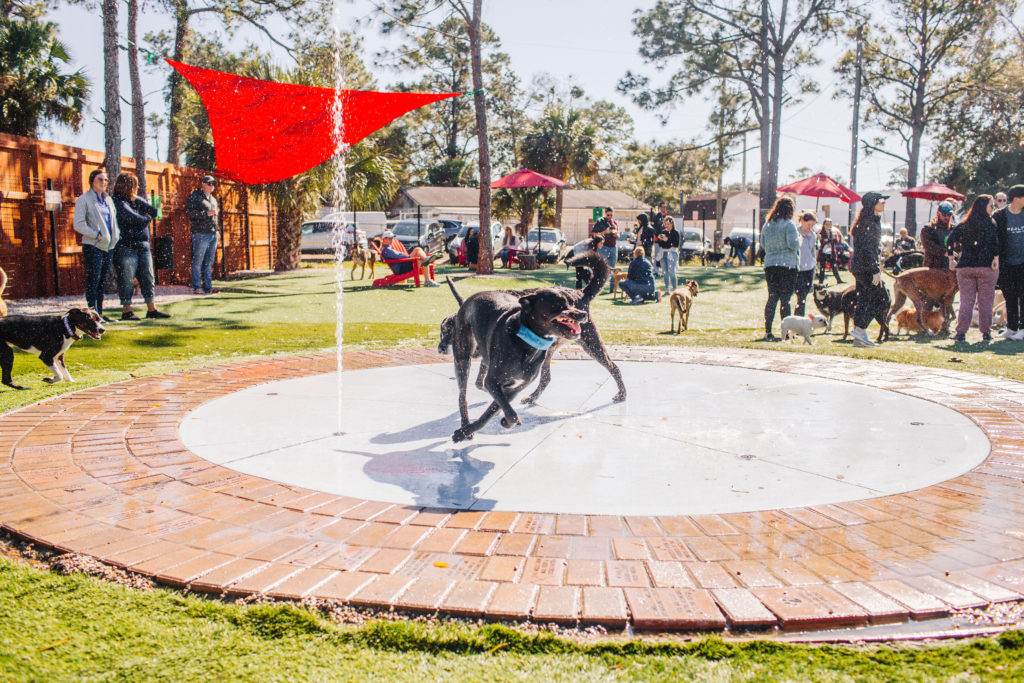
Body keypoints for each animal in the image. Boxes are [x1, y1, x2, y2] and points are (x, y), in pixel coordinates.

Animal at [438, 252, 622, 444]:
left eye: (569, 304)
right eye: (559, 305)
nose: (441, 348)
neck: (524, 339)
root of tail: (581, 292)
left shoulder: (511, 387)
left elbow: (495, 412)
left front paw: (474, 428)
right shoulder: (495, 382)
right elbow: (499, 409)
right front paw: (468, 430)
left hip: (589, 344)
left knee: (612, 366)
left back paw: (621, 394)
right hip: (463, 361)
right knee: (462, 396)